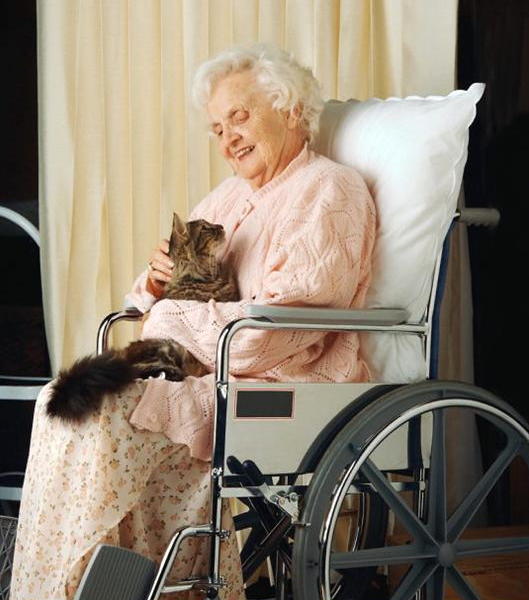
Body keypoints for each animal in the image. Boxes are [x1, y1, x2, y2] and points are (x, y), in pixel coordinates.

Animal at [47, 213, 237, 424]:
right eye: (205, 228)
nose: (221, 227)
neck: (195, 276)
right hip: (167, 349)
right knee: (134, 371)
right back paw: (168, 374)